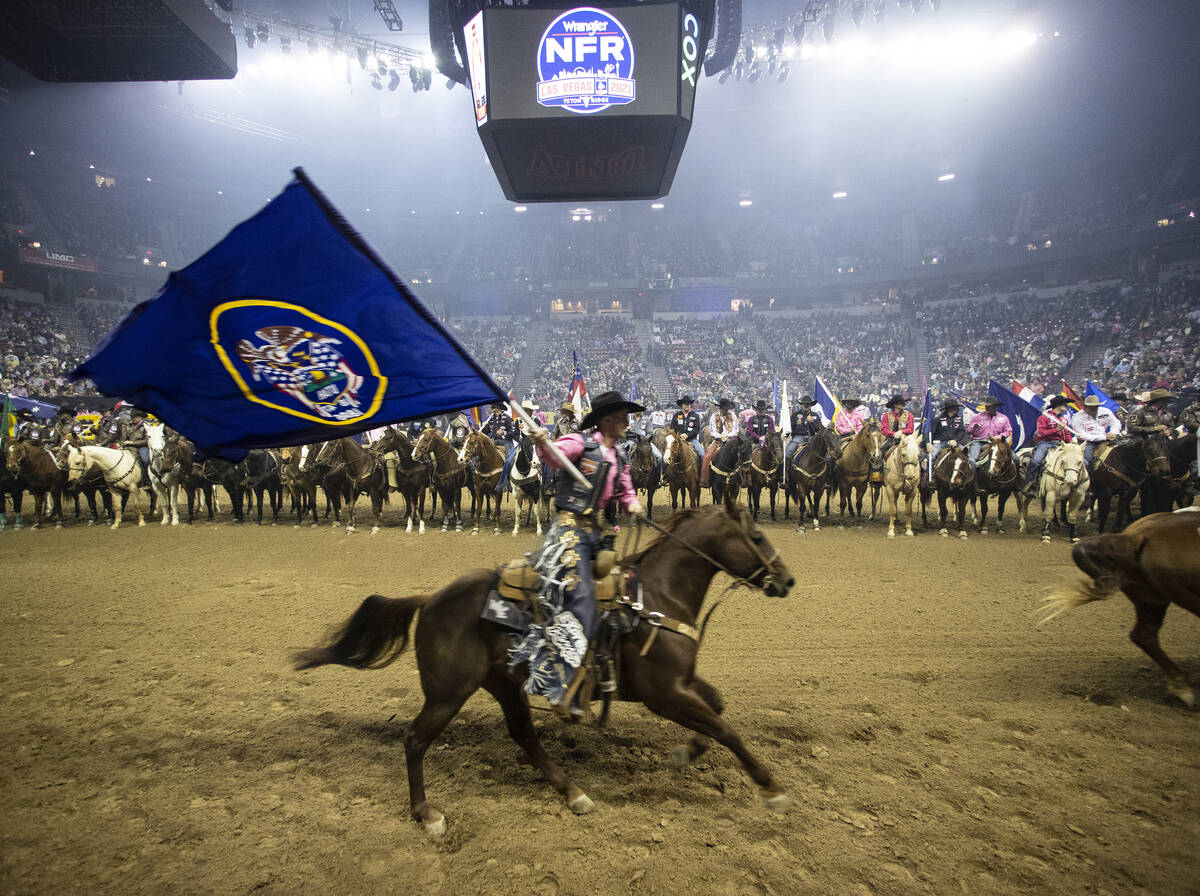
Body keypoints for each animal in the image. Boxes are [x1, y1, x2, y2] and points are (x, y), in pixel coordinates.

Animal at [290, 491, 796, 834]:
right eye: (756, 535)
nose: (787, 580)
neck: (656, 597)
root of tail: (430, 599)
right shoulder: (664, 694)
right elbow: (726, 728)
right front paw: (771, 788)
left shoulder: (683, 683)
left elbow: (719, 708)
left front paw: (685, 753)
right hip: (447, 693)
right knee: (415, 741)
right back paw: (427, 815)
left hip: (503, 685)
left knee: (525, 737)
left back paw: (574, 793)